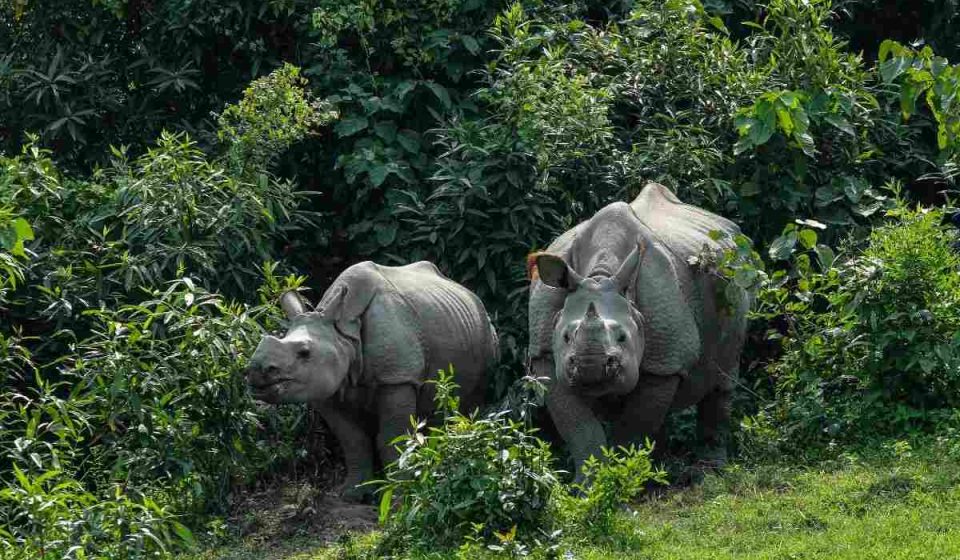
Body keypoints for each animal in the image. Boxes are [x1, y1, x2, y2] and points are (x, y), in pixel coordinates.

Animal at [246, 261, 499, 501]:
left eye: (305, 353)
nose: (256, 371)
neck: (344, 335)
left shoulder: (397, 378)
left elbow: (391, 438)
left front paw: (398, 496)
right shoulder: (325, 386)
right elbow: (352, 440)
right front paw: (352, 494)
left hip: (487, 332)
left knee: (472, 399)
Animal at [527, 183, 752, 481]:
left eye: (623, 337)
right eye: (565, 337)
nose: (591, 367)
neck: (600, 274)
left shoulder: (665, 362)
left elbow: (634, 425)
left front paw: (623, 478)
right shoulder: (544, 353)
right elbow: (579, 428)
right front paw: (587, 484)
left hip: (739, 275)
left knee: (722, 377)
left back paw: (707, 473)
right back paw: (660, 469)